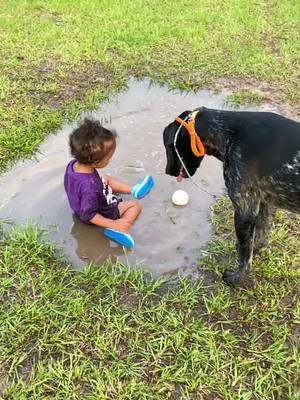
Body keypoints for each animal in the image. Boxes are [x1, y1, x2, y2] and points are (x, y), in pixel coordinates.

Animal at [164, 107, 300, 284]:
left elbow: (244, 255)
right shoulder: (265, 203)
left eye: (168, 146)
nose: (167, 171)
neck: (230, 132)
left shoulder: (244, 211)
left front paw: (237, 278)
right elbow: (259, 237)